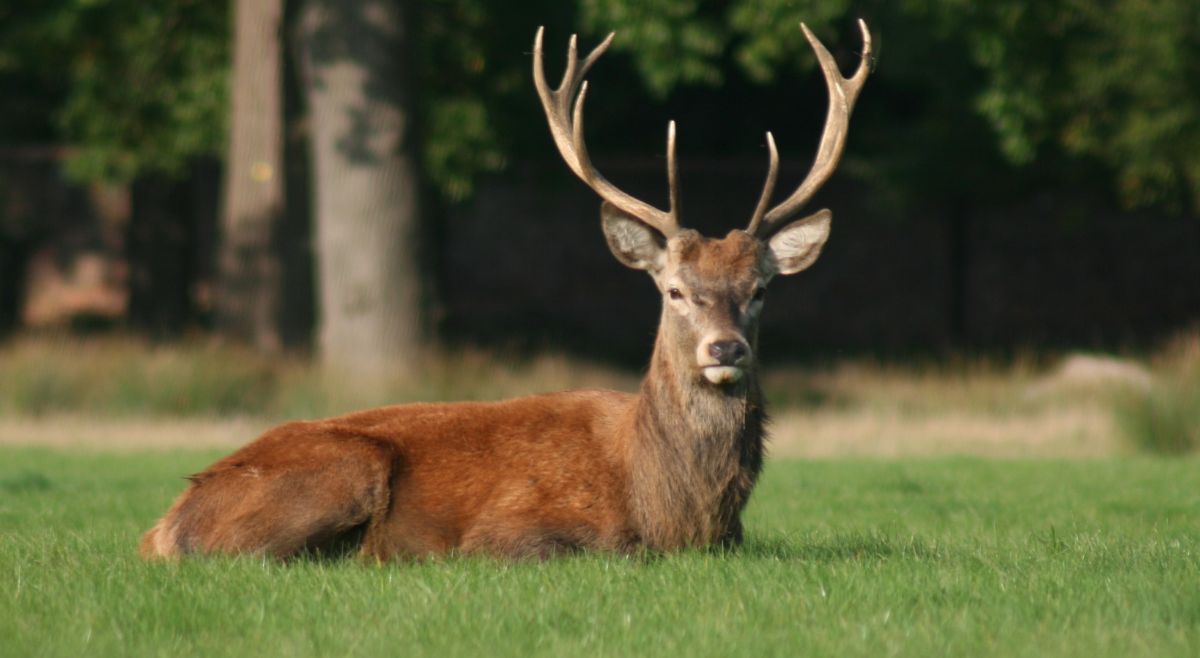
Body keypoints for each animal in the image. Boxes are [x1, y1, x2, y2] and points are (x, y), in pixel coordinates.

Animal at [140, 20, 872, 561]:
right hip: (343, 469)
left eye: (761, 289)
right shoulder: (512, 530)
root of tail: (163, 525)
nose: (725, 349)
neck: (673, 509)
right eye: (673, 289)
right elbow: (596, 548)